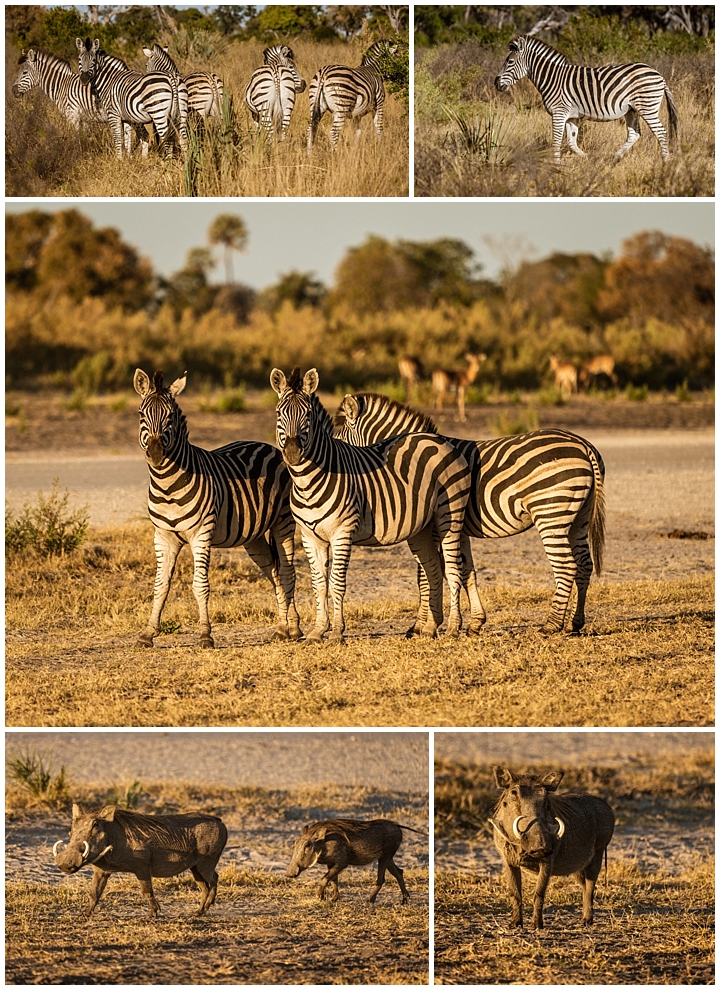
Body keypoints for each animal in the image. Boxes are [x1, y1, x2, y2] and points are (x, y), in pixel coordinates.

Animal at [133, 370, 300, 652]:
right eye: (141, 414)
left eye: (170, 416)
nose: (155, 454)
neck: (167, 485)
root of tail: (270, 447)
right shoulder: (163, 536)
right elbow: (160, 585)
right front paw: (147, 634)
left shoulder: (201, 533)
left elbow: (200, 585)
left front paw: (205, 636)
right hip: (254, 537)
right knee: (274, 573)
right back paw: (281, 628)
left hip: (283, 522)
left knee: (288, 571)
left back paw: (296, 628)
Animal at [268, 370, 470, 644]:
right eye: (279, 413)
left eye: (307, 415)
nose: (292, 452)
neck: (307, 481)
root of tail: (441, 441)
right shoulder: (310, 537)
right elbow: (318, 584)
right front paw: (317, 631)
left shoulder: (342, 533)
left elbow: (337, 583)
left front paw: (337, 633)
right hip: (423, 528)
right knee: (433, 569)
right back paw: (429, 629)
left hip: (450, 517)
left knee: (452, 569)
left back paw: (453, 628)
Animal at [334, 390, 604, 636]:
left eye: (337, 440)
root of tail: (583, 444)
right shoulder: (458, 529)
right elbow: (466, 573)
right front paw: (475, 622)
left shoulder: (433, 527)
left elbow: (426, 574)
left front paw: (422, 626)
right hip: (578, 517)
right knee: (584, 564)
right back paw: (575, 623)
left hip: (551, 512)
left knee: (566, 566)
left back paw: (551, 625)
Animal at [492, 33, 676, 162]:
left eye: (509, 62)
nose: (496, 83)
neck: (553, 78)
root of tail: (658, 74)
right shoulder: (571, 116)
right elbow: (572, 142)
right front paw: (588, 159)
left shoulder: (559, 113)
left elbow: (556, 142)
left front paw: (555, 167)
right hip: (632, 109)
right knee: (634, 134)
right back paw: (615, 158)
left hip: (647, 107)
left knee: (661, 133)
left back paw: (665, 163)